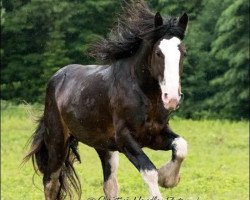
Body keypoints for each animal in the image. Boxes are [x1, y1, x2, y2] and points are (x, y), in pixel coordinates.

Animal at [24, 0, 189, 199]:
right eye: (158, 52)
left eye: (184, 52)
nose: (172, 98)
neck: (144, 94)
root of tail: (55, 79)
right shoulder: (125, 139)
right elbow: (149, 170)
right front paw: (164, 177)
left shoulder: (155, 135)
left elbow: (181, 147)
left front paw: (168, 178)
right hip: (57, 143)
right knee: (50, 183)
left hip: (104, 147)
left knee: (109, 186)